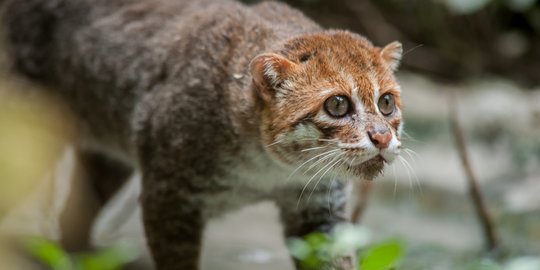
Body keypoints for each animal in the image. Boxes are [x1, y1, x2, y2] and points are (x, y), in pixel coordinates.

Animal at [2, 0, 400, 268]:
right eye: (337, 105)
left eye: (386, 103)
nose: (382, 138)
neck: (268, 169)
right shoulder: (169, 198)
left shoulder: (319, 209)